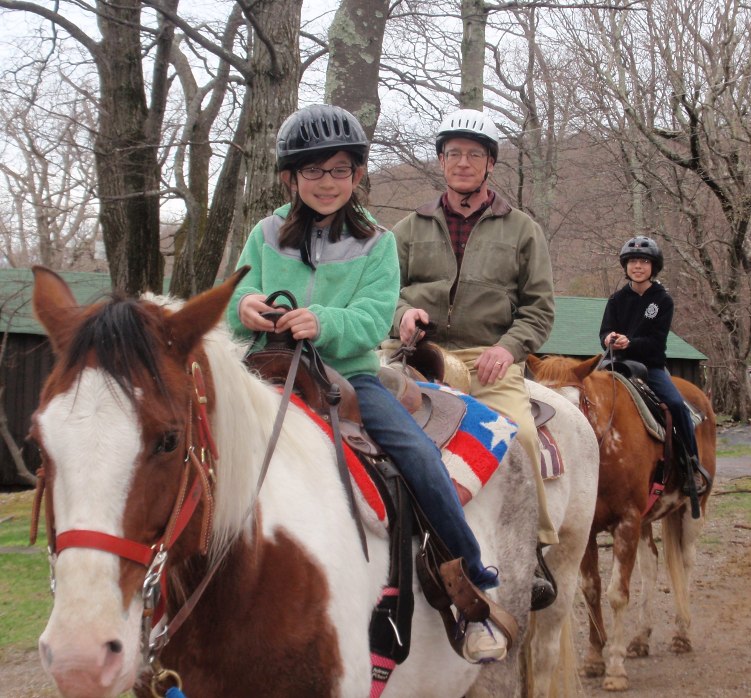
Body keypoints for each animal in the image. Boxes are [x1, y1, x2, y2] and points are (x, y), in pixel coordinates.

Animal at [527, 353, 717, 692]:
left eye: (579, 402)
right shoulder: (591, 530)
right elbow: (591, 590)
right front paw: (594, 659)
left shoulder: (626, 522)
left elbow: (617, 594)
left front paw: (615, 668)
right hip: (645, 522)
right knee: (650, 565)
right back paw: (640, 638)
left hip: (692, 511)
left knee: (685, 563)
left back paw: (682, 633)